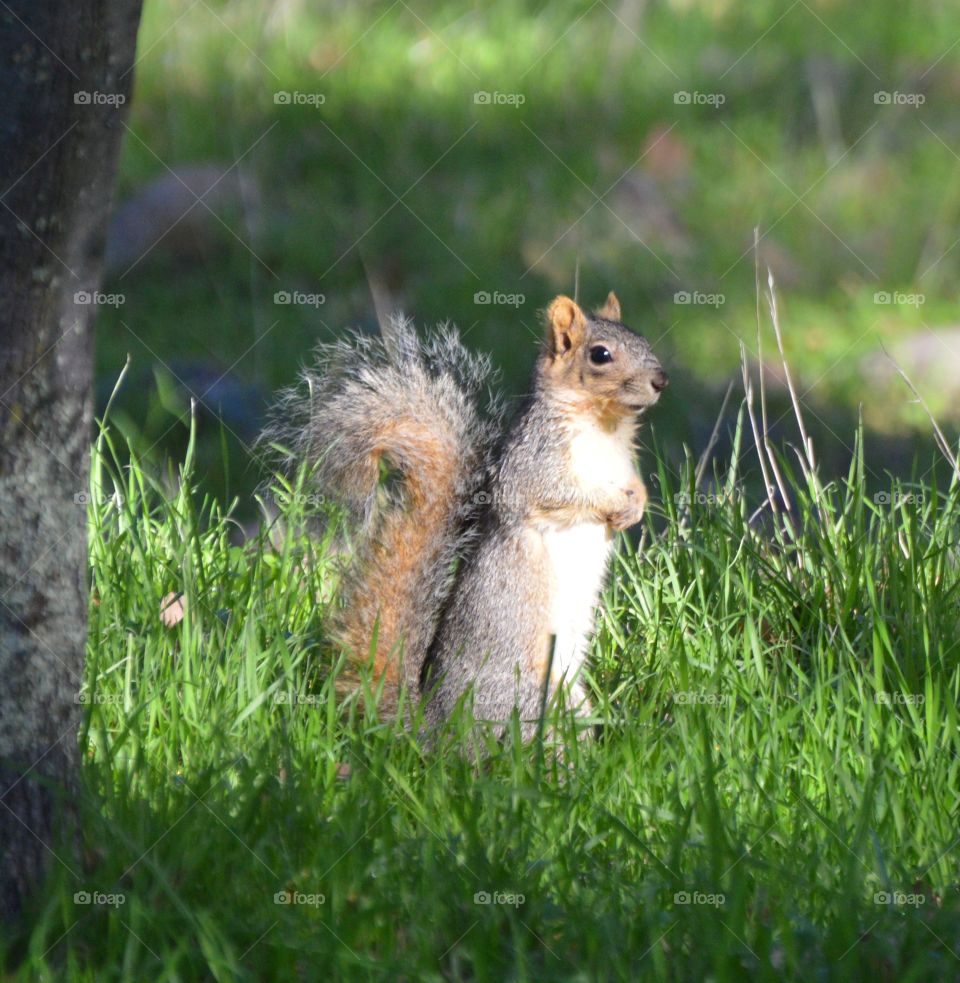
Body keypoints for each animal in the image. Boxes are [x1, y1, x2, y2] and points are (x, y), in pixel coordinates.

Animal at [264, 292, 667, 740]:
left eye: (643, 339)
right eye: (600, 355)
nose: (661, 380)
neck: (606, 426)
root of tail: (438, 726)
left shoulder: (622, 466)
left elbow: (635, 485)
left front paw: (635, 505)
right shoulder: (533, 463)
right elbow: (556, 493)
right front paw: (613, 505)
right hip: (529, 698)